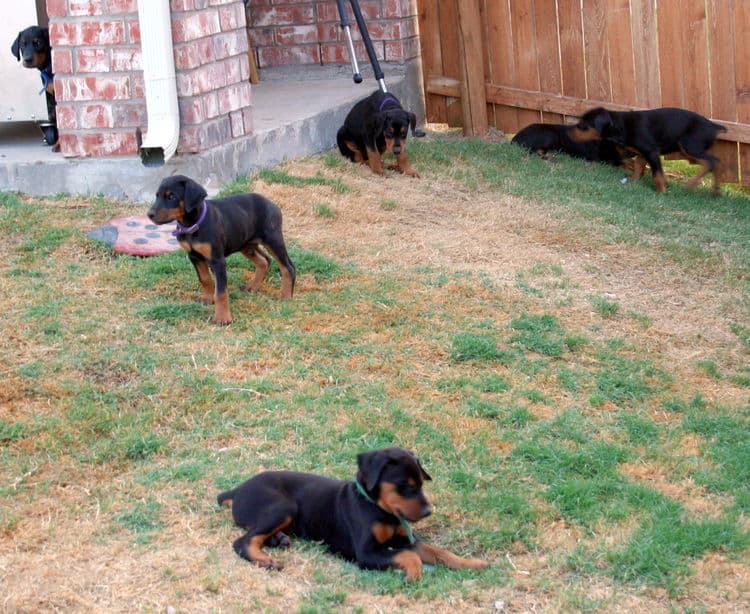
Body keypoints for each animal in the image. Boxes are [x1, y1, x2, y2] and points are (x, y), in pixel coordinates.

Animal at [147, 174, 296, 328]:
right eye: (157, 195)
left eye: (171, 196)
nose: (149, 214)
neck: (193, 225)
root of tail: (273, 205)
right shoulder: (194, 256)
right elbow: (205, 279)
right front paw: (207, 298)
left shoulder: (217, 260)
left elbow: (221, 292)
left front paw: (222, 318)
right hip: (246, 244)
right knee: (264, 261)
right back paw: (253, 287)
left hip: (272, 240)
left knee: (288, 267)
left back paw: (285, 296)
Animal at [219, 448, 488, 584]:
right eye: (404, 485)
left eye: (421, 483)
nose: (428, 511)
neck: (378, 508)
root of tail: (238, 489)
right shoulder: (366, 553)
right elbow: (410, 556)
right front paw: (414, 573)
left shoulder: (406, 539)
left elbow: (439, 552)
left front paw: (472, 563)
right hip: (283, 507)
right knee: (242, 541)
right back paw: (265, 560)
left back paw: (280, 540)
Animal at [568, 106, 728, 192]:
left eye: (583, 125)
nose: (569, 132)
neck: (620, 125)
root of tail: (714, 126)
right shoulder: (642, 153)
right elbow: (638, 166)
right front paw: (632, 180)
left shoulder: (651, 152)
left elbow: (657, 174)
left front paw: (661, 191)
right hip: (687, 150)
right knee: (716, 163)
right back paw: (716, 191)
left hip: (689, 145)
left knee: (711, 161)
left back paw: (692, 184)